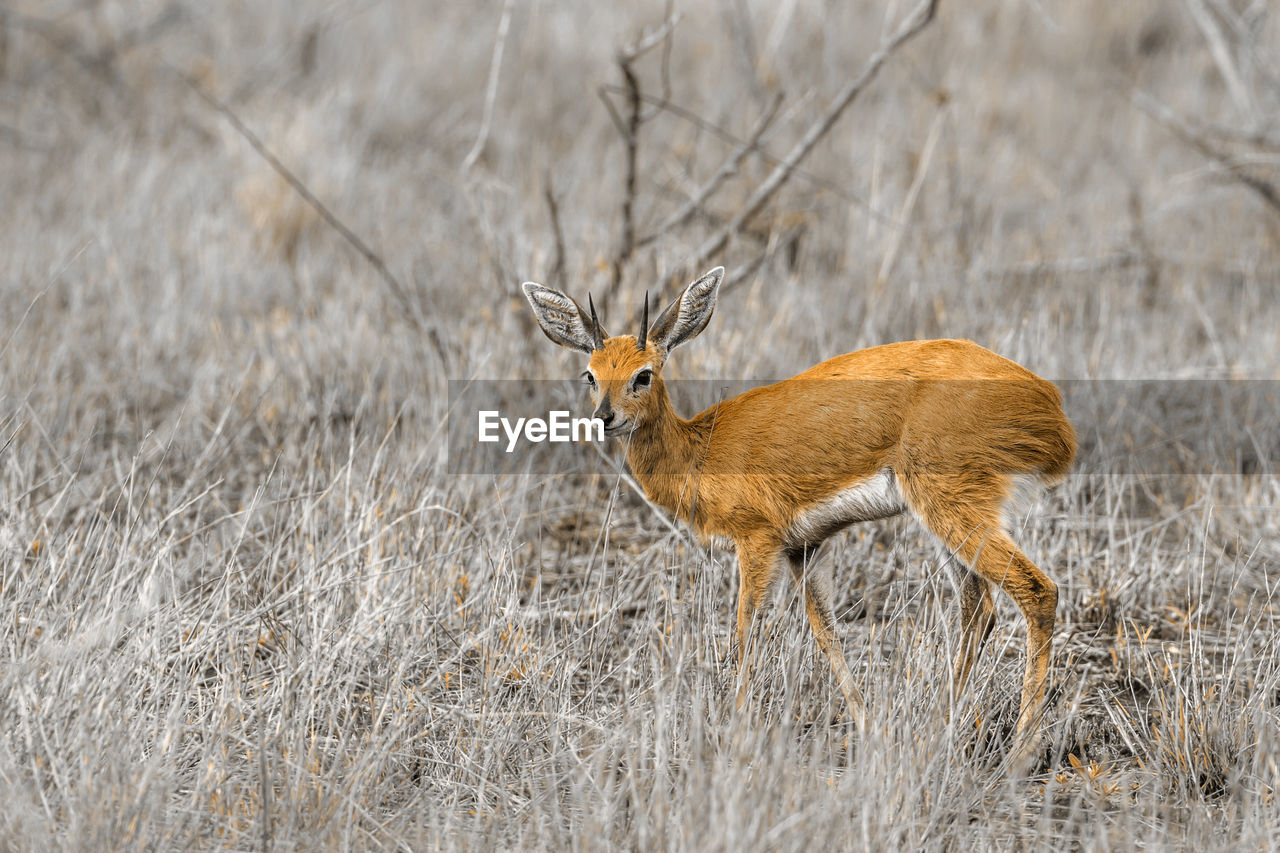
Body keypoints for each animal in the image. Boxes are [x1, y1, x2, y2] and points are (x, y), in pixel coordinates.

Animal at [517, 267, 1070, 763]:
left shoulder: (757, 540)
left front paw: (736, 732)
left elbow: (747, 627)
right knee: (979, 606)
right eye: (590, 374)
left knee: (1037, 590)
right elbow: (825, 632)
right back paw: (941, 730)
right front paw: (867, 727)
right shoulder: (805, 548)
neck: (701, 448)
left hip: (952, 507)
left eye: (643, 374)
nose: (605, 417)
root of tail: (1051, 407)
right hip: (949, 518)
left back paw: (1021, 753)